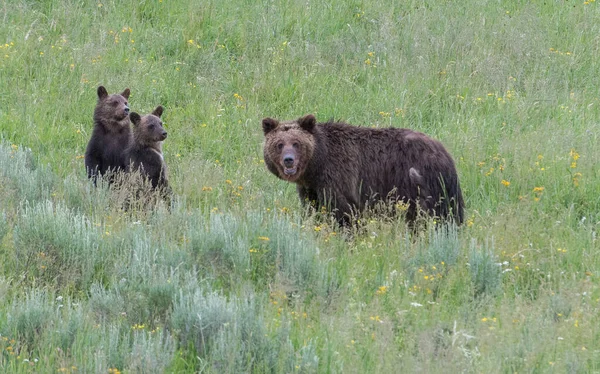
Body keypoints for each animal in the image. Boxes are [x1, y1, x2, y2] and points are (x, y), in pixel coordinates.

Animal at [262, 114, 464, 225]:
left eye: (296, 143)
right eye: (279, 144)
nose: (288, 160)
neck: (316, 166)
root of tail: (444, 153)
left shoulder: (339, 177)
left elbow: (344, 212)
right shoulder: (311, 188)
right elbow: (314, 209)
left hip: (416, 182)